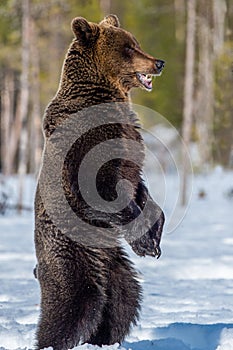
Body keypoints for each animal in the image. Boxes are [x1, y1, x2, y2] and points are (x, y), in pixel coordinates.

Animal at [34, 14, 165, 350]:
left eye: (136, 42)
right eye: (129, 47)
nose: (159, 62)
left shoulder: (130, 148)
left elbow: (140, 191)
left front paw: (154, 237)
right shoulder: (86, 146)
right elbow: (101, 190)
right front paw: (145, 242)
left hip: (115, 268)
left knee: (122, 302)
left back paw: (105, 339)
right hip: (70, 256)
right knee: (72, 306)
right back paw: (51, 340)